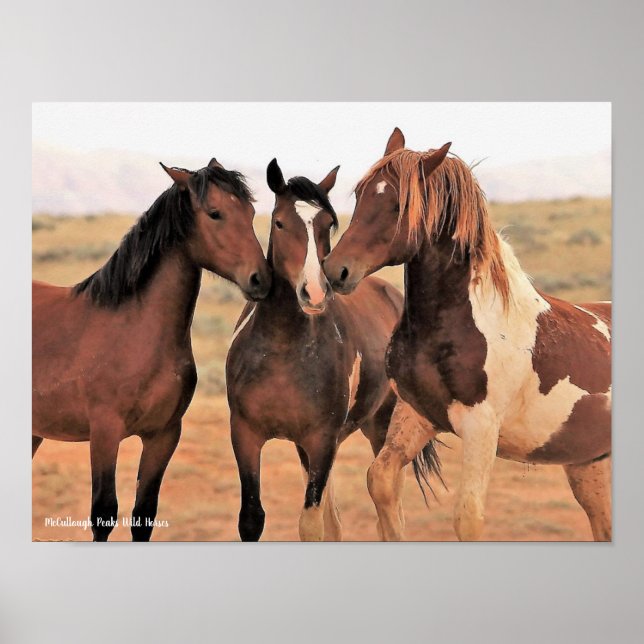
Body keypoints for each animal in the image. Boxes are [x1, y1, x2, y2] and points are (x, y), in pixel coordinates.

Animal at [32, 158, 271, 541]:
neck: (135, 330)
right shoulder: (105, 433)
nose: (261, 280)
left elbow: (144, 513)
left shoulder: (163, 435)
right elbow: (104, 512)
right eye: (215, 213)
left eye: (249, 212)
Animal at [226, 158, 419, 541]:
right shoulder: (245, 435)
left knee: (390, 511)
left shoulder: (321, 440)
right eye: (279, 222)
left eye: (328, 223)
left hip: (380, 428)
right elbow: (252, 518)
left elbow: (312, 524)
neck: (282, 349)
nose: (314, 293)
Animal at [323, 128, 611, 541]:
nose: (336, 270)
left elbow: (468, 517)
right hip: (588, 465)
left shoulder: (480, 428)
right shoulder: (417, 414)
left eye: (398, 205)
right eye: (360, 195)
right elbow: (381, 482)